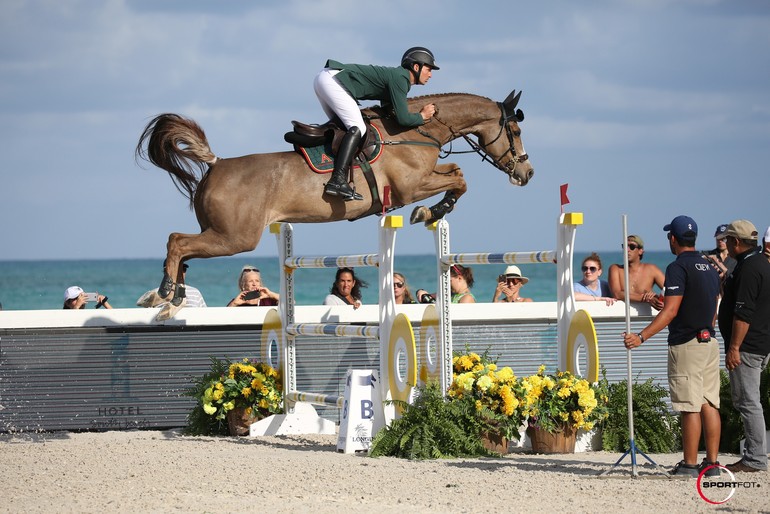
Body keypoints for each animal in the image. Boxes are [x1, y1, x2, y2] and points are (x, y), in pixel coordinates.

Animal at [135, 90, 532, 318]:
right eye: (514, 131)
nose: (526, 173)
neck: (415, 131)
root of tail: (216, 165)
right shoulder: (410, 187)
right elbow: (459, 180)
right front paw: (430, 211)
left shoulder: (425, 177)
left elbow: (457, 173)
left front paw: (437, 210)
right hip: (235, 237)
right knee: (177, 241)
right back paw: (167, 294)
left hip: (221, 233)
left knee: (183, 248)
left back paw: (173, 297)